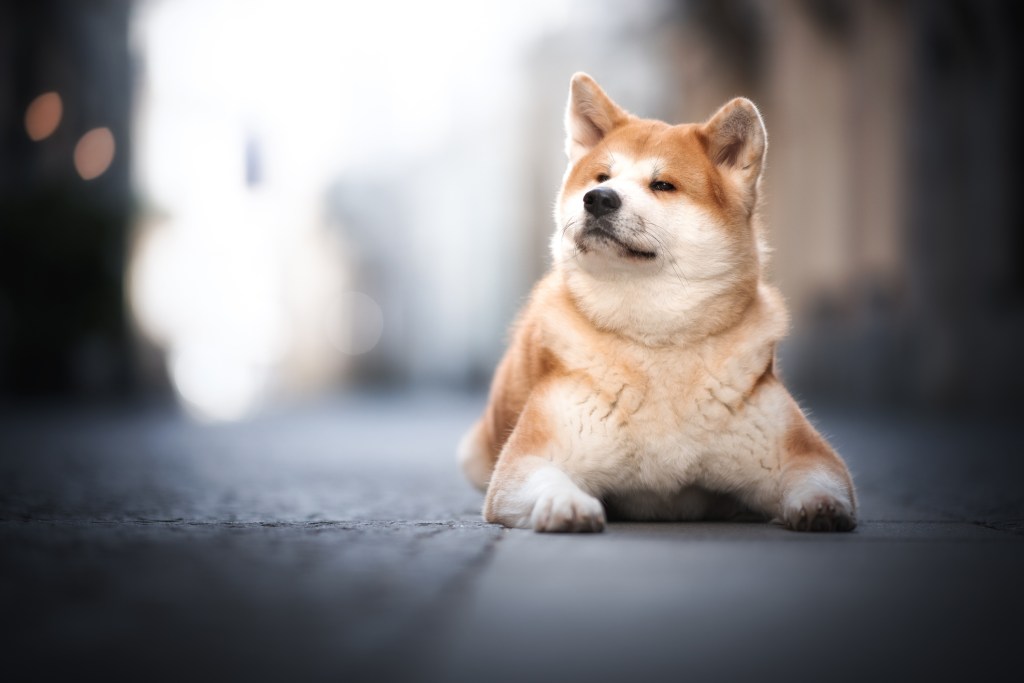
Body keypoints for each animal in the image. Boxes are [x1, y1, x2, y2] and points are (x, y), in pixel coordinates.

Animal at [458, 73, 856, 532]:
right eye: (601, 176)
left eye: (663, 184)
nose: (599, 198)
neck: (655, 337)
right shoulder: (527, 461)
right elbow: (545, 479)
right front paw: (567, 505)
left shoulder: (801, 454)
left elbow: (822, 482)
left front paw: (821, 509)